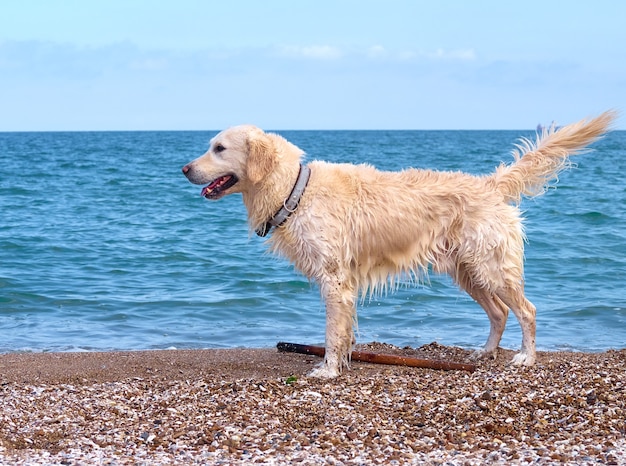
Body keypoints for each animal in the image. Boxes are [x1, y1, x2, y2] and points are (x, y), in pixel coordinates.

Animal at [183, 112, 612, 378]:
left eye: (219, 148)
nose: (184, 168)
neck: (295, 189)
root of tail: (490, 185)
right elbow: (343, 330)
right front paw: (342, 361)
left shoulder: (335, 279)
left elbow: (331, 331)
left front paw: (328, 369)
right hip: (467, 270)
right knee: (499, 313)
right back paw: (485, 352)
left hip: (491, 267)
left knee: (526, 310)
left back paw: (526, 357)